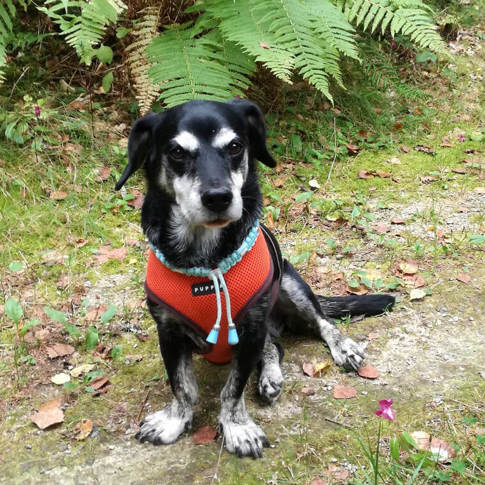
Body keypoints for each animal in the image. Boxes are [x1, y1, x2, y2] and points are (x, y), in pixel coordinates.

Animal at [115, 99, 394, 458]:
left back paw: (340, 347)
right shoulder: (169, 332)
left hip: (289, 284)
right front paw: (175, 420)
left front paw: (237, 427)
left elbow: (233, 388)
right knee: (274, 346)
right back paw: (270, 377)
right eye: (176, 152)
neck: (206, 262)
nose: (218, 197)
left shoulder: (250, 329)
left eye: (235, 146)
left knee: (319, 323)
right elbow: (182, 385)